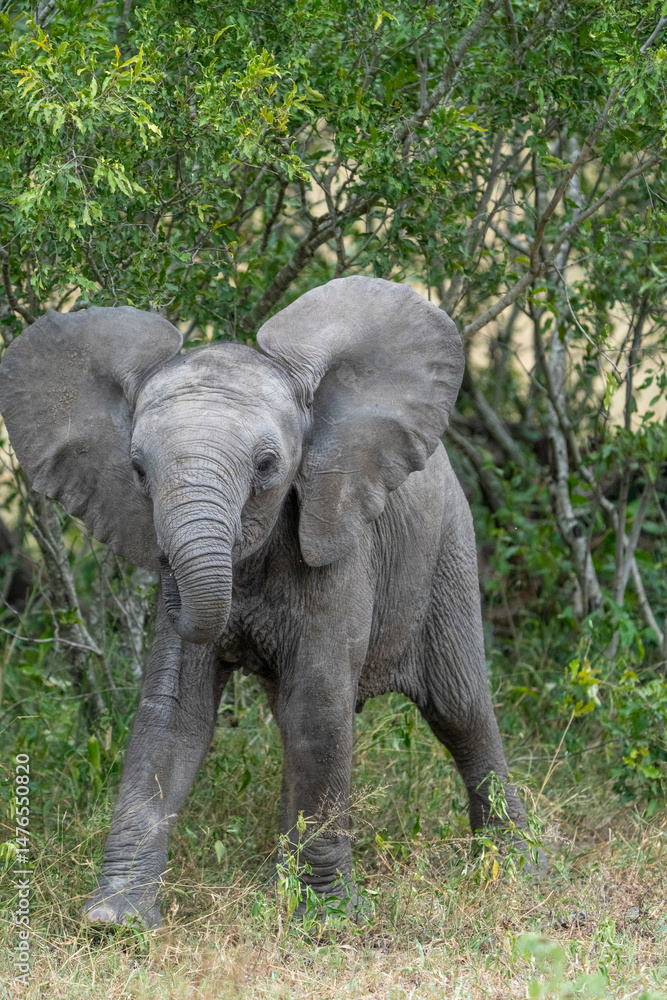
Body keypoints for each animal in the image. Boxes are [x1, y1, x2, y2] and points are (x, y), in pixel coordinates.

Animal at [0, 276, 538, 929]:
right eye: (136, 470)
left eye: (266, 466)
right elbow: (174, 713)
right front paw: (116, 920)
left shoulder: (337, 540)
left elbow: (319, 705)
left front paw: (324, 916)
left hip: (448, 552)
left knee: (461, 709)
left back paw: (513, 869)